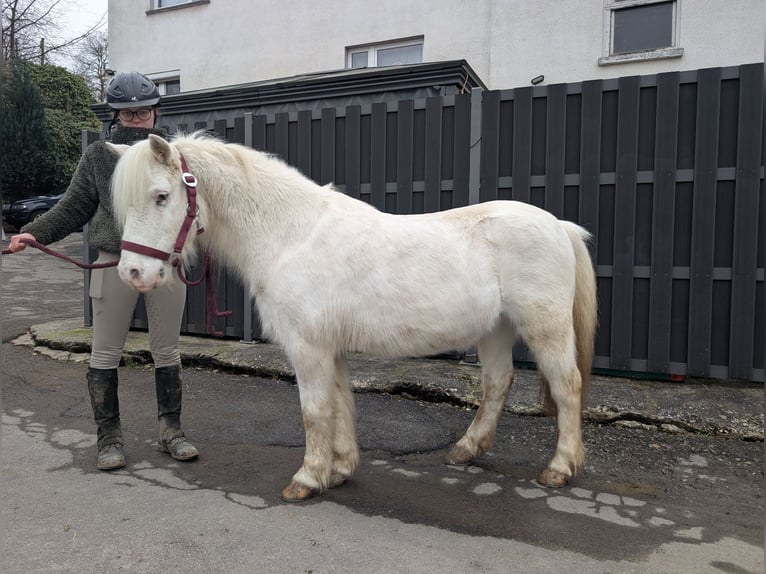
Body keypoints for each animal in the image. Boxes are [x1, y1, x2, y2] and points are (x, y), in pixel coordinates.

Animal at [107, 133, 598, 502]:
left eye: (161, 196)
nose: (132, 273)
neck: (291, 234)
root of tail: (559, 226)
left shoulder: (308, 349)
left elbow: (314, 411)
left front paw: (307, 479)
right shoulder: (331, 349)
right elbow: (341, 403)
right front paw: (341, 469)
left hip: (545, 328)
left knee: (567, 386)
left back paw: (559, 468)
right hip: (495, 330)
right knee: (498, 384)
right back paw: (465, 450)